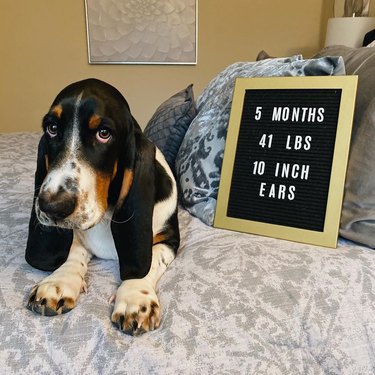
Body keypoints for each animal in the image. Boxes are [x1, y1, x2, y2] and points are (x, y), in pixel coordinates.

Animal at [25, 78, 181, 336]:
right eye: (52, 128)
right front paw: (58, 282)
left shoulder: (170, 239)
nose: (51, 206)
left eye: (104, 133)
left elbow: (149, 260)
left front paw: (135, 297)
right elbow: (73, 251)